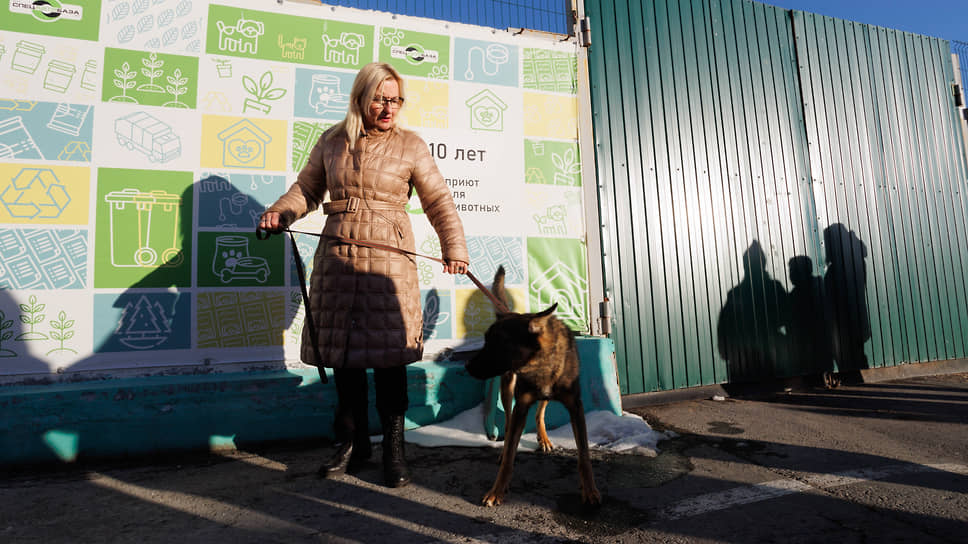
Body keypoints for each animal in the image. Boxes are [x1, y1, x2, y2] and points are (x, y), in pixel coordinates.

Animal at [466, 266, 600, 508]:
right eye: (485, 341)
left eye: (496, 343)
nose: (467, 367)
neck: (539, 365)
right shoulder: (521, 405)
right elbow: (509, 455)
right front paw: (496, 491)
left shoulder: (575, 407)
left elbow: (584, 455)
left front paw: (590, 490)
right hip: (508, 389)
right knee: (509, 421)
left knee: (540, 411)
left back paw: (544, 438)